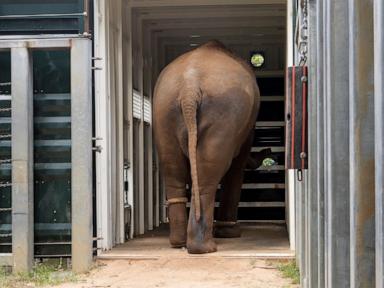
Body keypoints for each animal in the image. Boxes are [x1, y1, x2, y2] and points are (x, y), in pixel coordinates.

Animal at [153, 40, 260, 254]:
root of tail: (189, 88)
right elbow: (238, 165)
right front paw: (231, 233)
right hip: (223, 114)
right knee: (209, 172)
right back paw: (205, 248)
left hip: (163, 110)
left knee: (172, 168)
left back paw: (178, 243)